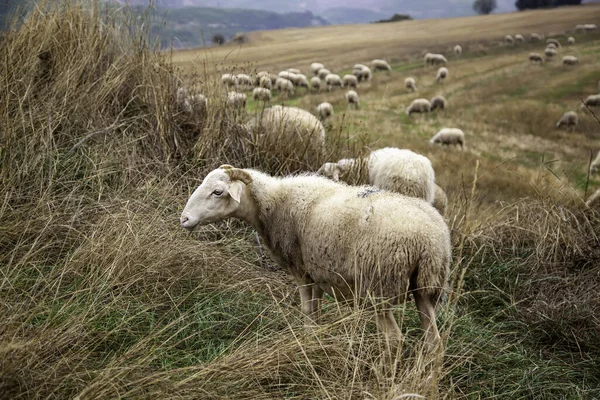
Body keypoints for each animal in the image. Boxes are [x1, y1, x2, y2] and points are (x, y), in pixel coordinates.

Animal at [180, 164, 452, 352]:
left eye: (217, 192)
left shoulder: (301, 271)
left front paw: (307, 342)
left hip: (378, 285)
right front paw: (317, 340)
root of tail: (430, 240)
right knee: (434, 342)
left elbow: (307, 314)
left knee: (394, 339)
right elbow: (317, 312)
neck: (272, 203)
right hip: (426, 287)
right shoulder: (319, 272)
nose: (184, 219)